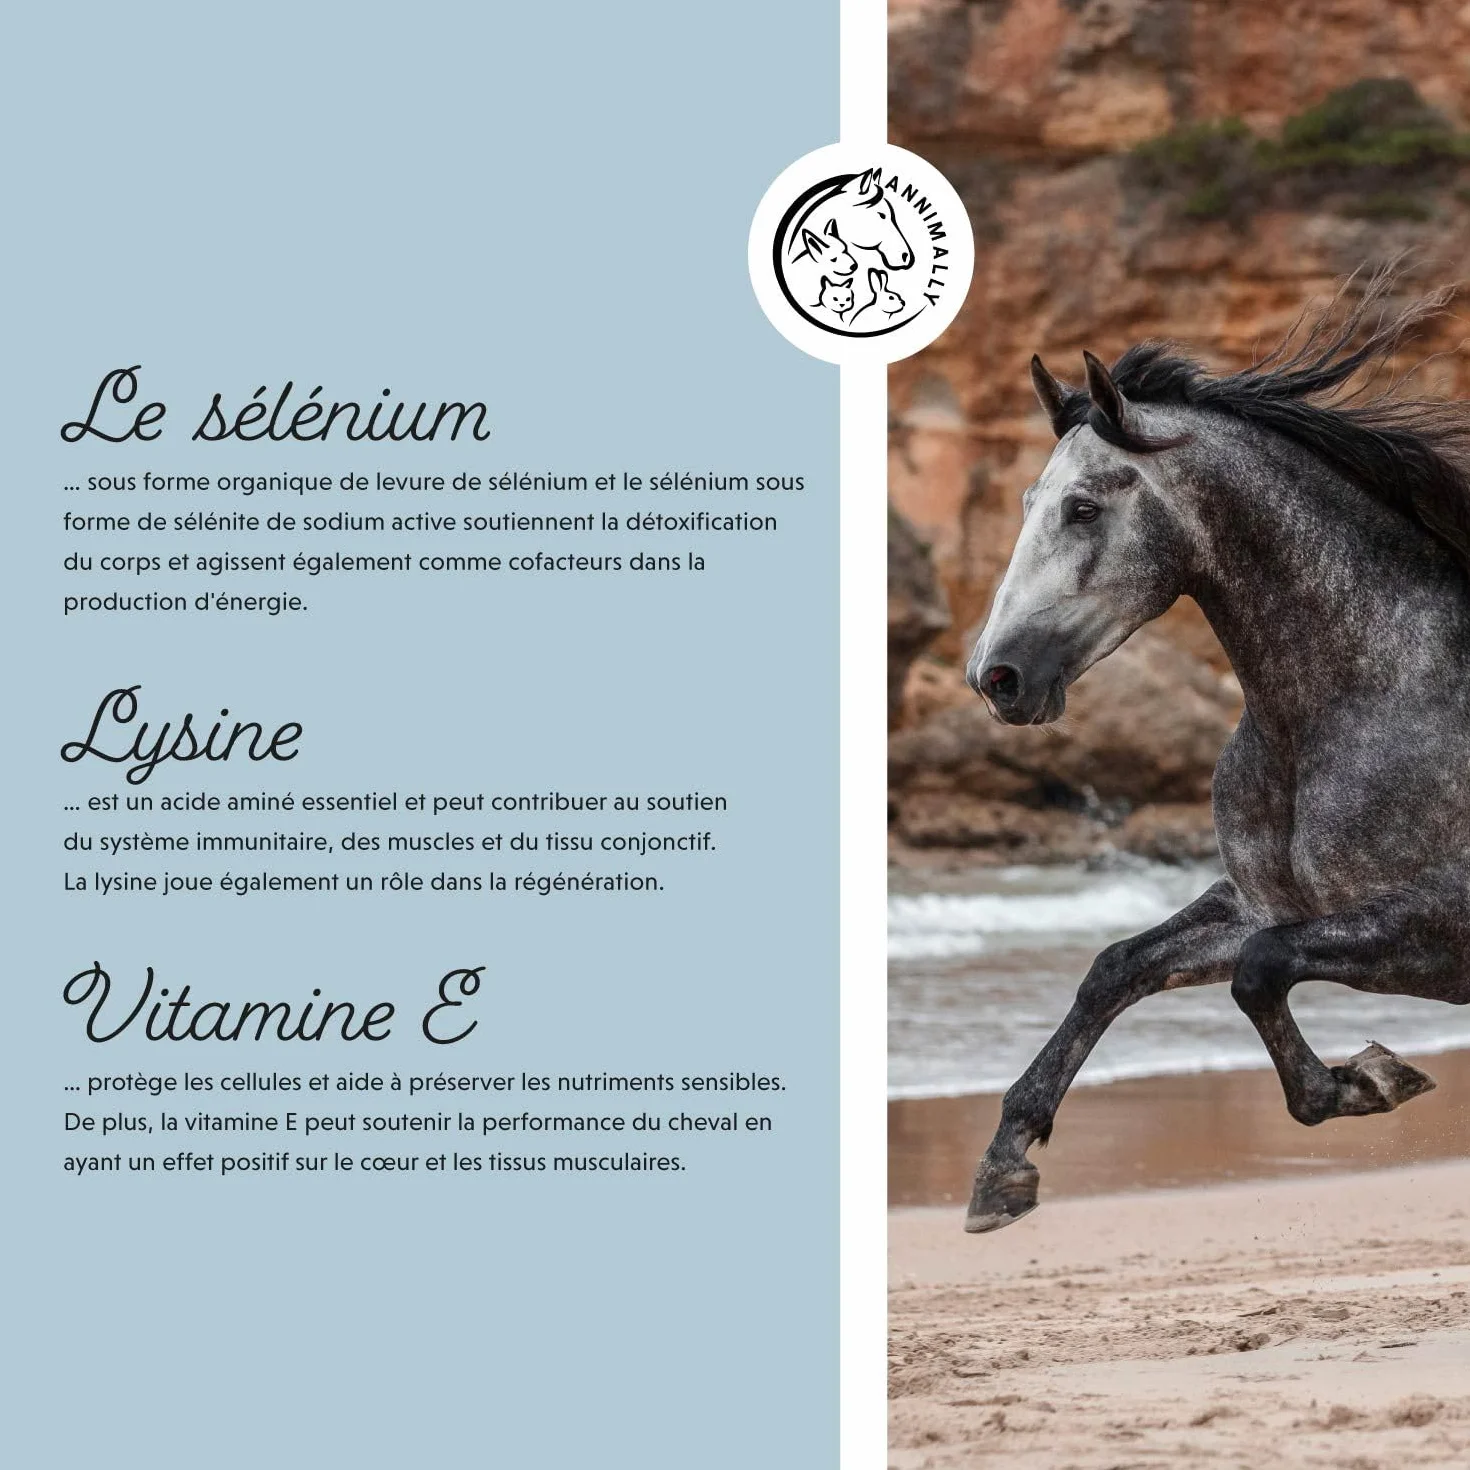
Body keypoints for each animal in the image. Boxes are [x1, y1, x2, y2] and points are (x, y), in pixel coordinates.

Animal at [961, 271, 1470, 1233]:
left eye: (1083, 508)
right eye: (1026, 506)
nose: (995, 676)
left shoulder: (1444, 922)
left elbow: (1260, 974)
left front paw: (1372, 1079)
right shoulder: (1267, 903)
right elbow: (1118, 968)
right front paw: (1003, 1167)